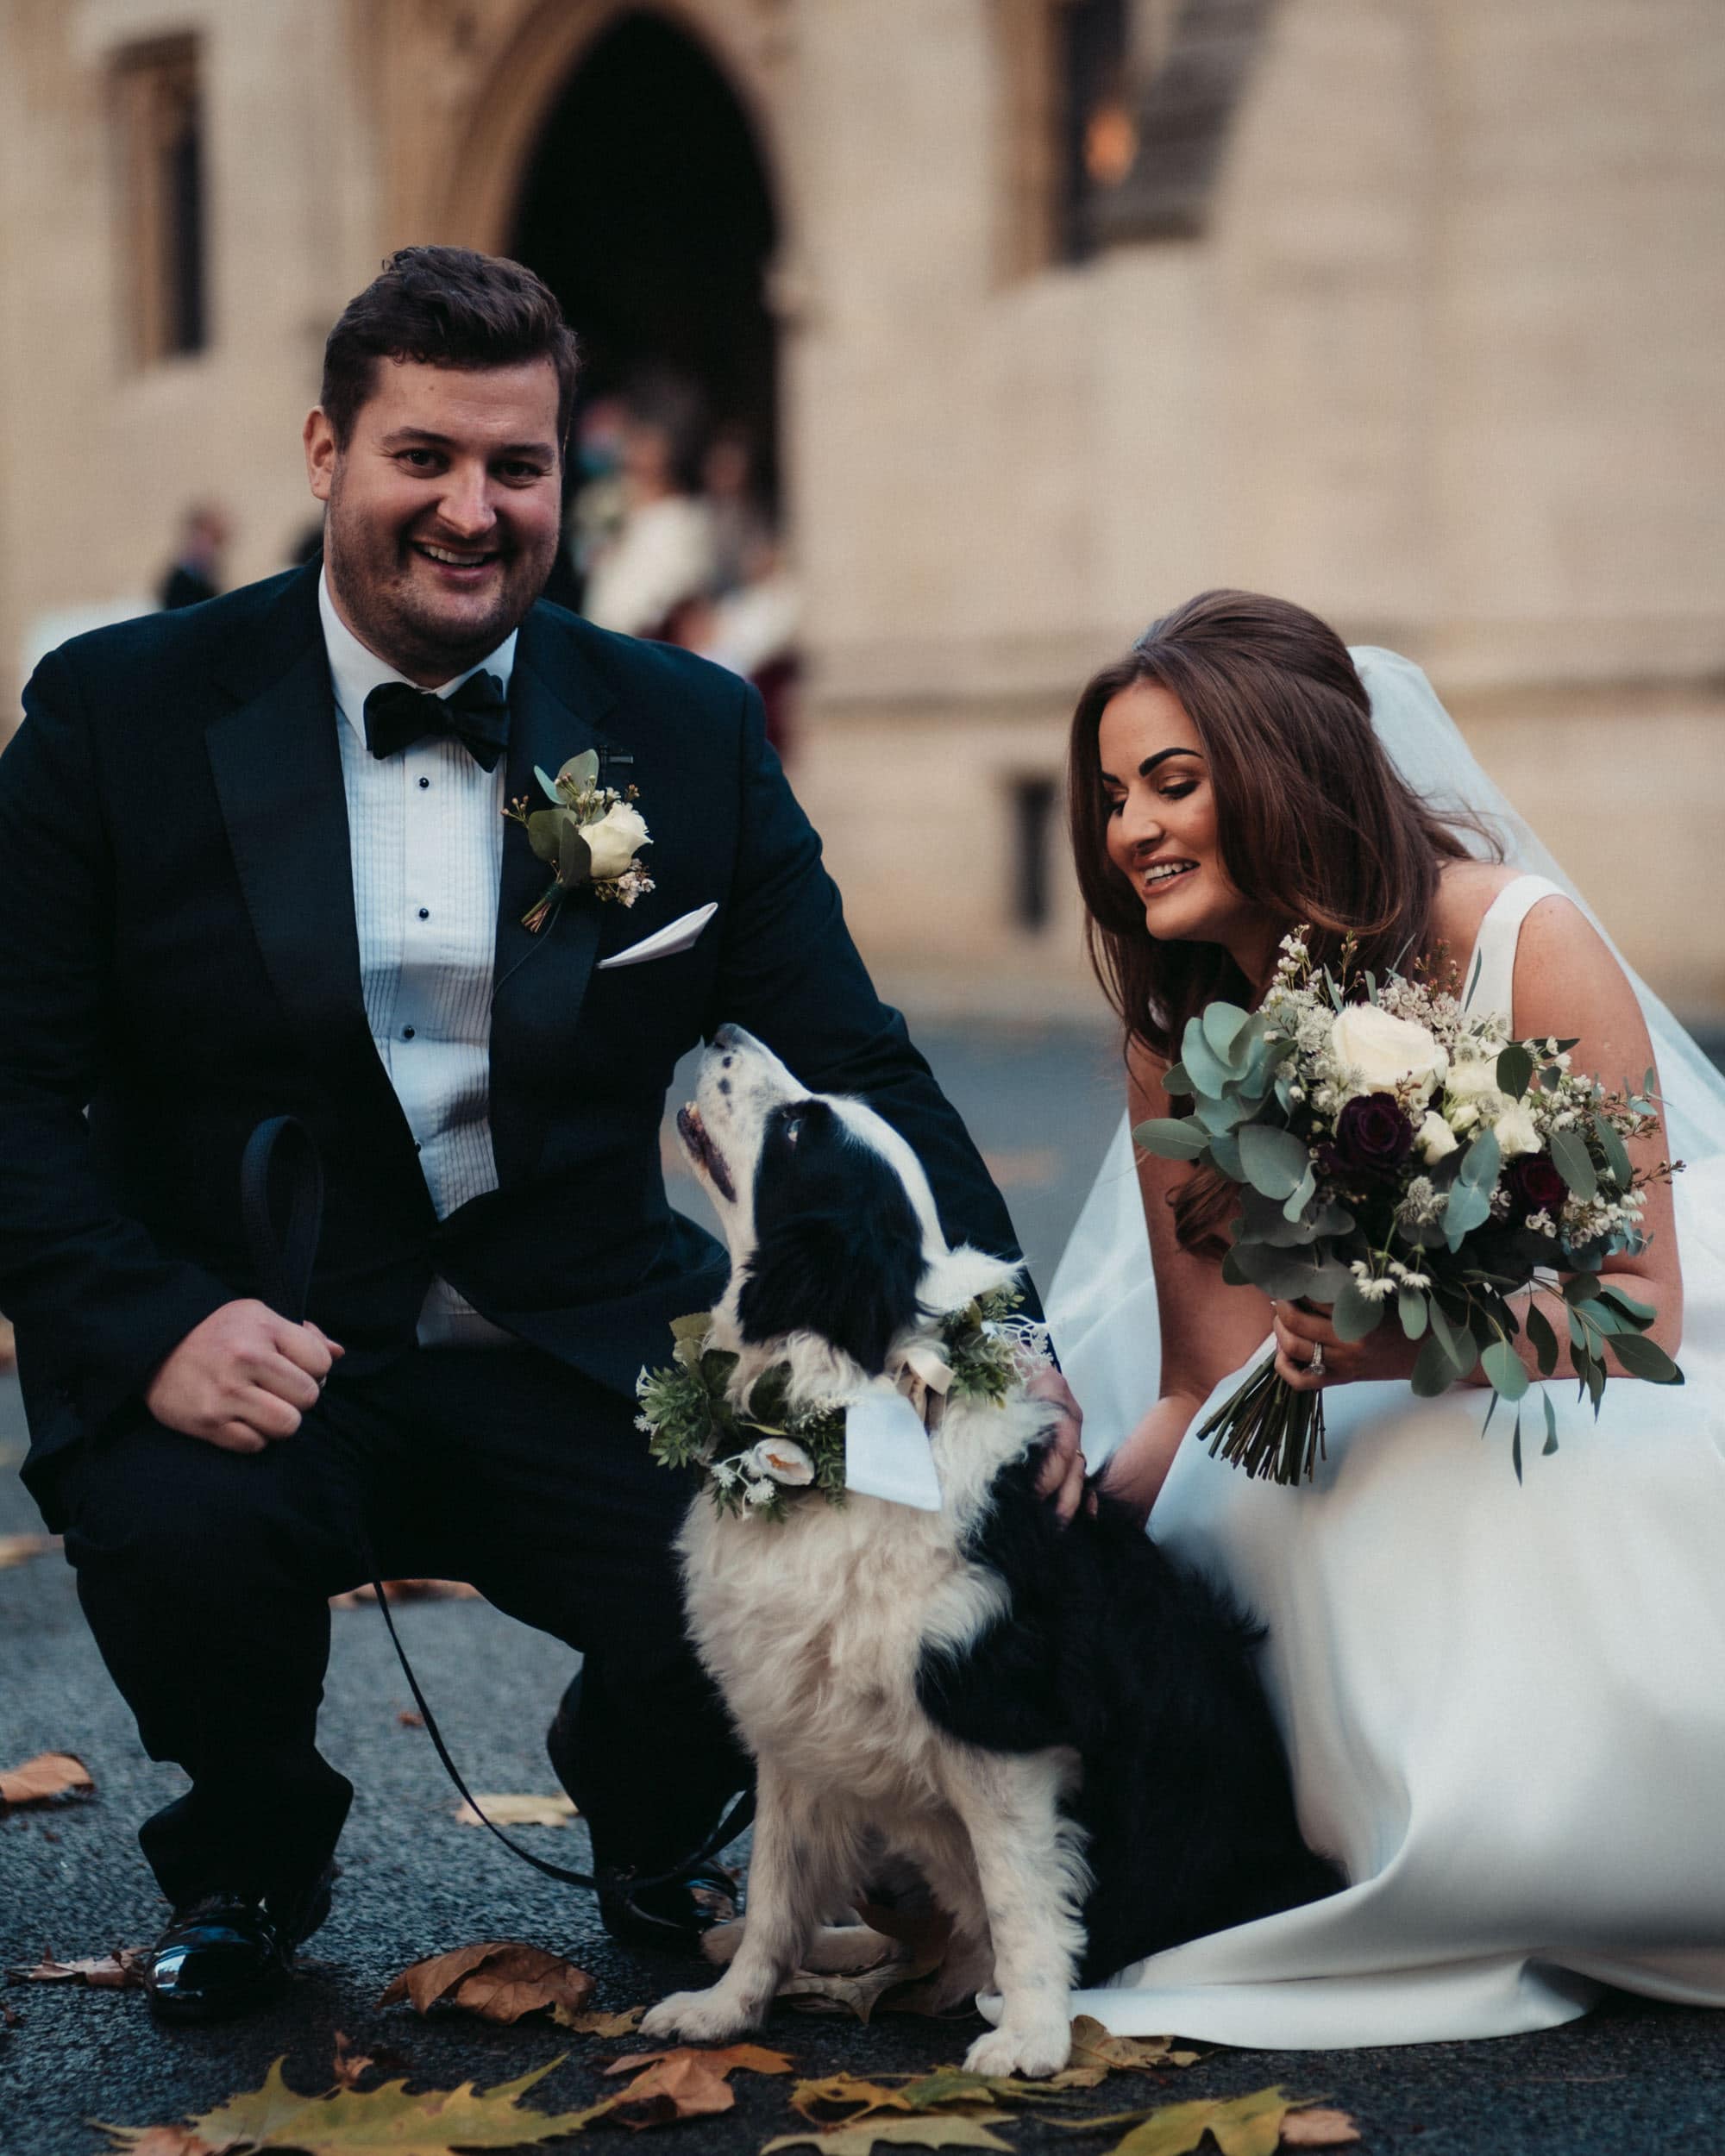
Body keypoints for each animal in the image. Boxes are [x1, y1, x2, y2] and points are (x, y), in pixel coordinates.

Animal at [638, 1026, 1337, 2070]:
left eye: (799, 1128)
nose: (722, 1031)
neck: (853, 1425)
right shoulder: (792, 1719)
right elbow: (773, 1890)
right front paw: (726, 2011)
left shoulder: (1001, 1731)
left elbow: (1021, 1898)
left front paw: (1031, 2039)